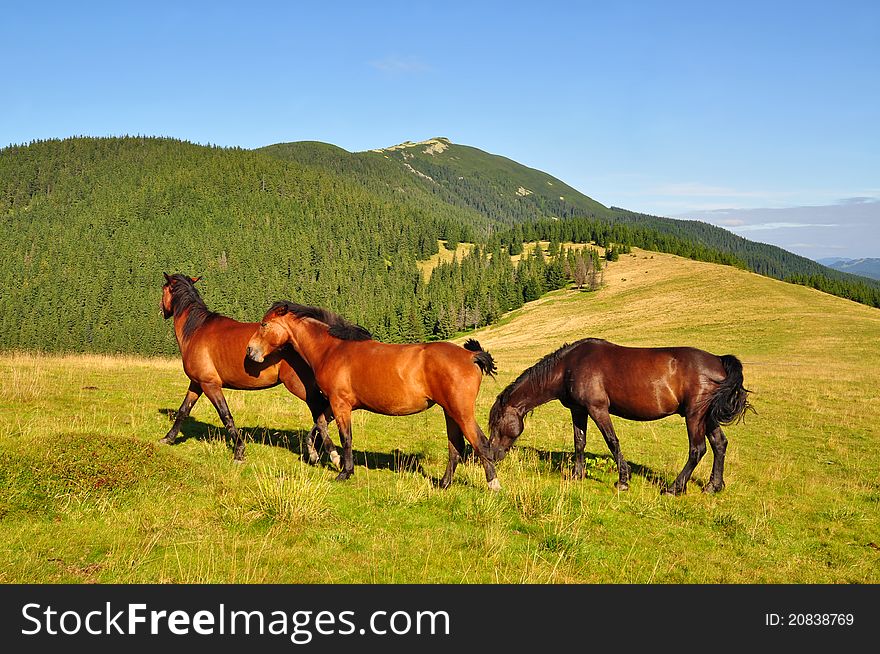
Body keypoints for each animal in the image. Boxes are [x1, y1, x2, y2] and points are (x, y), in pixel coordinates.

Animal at [158, 274, 336, 468]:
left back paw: (317, 450)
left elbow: (226, 416)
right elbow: (183, 410)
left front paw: (239, 451)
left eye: (163, 289)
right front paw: (168, 438)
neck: (196, 330)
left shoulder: (210, 385)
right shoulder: (197, 383)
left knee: (322, 412)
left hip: (301, 387)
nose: (162, 309)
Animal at [244, 302, 502, 492]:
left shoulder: (340, 404)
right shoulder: (337, 404)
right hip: (449, 411)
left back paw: (493, 485)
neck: (332, 349)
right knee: (455, 447)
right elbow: (319, 424)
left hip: (461, 411)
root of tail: (470, 356)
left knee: (481, 443)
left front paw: (344, 471)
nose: (250, 351)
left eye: (264, 324)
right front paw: (322, 454)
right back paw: (444, 484)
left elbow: (345, 438)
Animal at [488, 340, 748, 494]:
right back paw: (713, 486)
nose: (491, 455)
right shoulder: (579, 410)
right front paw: (577, 474)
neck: (568, 366)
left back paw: (674, 487)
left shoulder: (598, 409)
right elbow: (579, 442)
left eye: (497, 424)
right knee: (719, 444)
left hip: (695, 415)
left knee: (697, 449)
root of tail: (719, 361)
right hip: (708, 417)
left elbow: (612, 441)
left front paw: (623, 479)